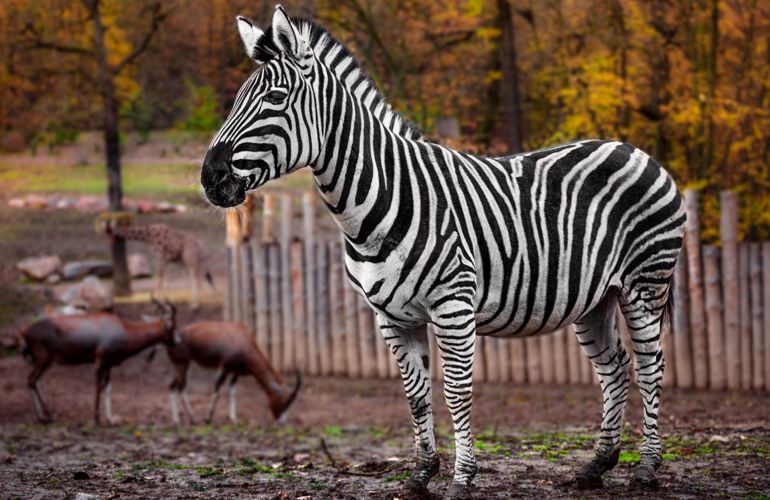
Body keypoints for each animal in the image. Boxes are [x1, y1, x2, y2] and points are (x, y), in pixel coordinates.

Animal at [23, 298, 176, 424]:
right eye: (173, 326)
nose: (176, 342)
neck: (122, 328)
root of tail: (25, 331)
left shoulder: (109, 365)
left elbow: (107, 387)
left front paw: (110, 419)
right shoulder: (100, 361)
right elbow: (98, 386)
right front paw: (96, 418)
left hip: (42, 361)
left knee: (36, 382)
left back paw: (41, 417)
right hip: (43, 359)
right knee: (31, 380)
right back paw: (46, 415)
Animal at [165, 322, 300, 424]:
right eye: (287, 401)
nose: (282, 422)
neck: (242, 339)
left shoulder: (235, 372)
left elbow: (233, 392)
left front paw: (234, 419)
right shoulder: (224, 369)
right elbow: (217, 392)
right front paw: (207, 419)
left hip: (180, 367)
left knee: (172, 386)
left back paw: (176, 419)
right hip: (182, 365)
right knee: (182, 389)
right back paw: (192, 419)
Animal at [200, 5, 684, 498]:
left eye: (275, 98)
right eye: (237, 99)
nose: (210, 177)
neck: (378, 203)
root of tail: (635, 149)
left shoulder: (452, 305)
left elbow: (456, 390)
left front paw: (462, 478)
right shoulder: (391, 316)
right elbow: (415, 394)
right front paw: (420, 475)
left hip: (645, 283)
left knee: (650, 366)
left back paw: (646, 468)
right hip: (593, 298)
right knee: (614, 367)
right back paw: (597, 466)